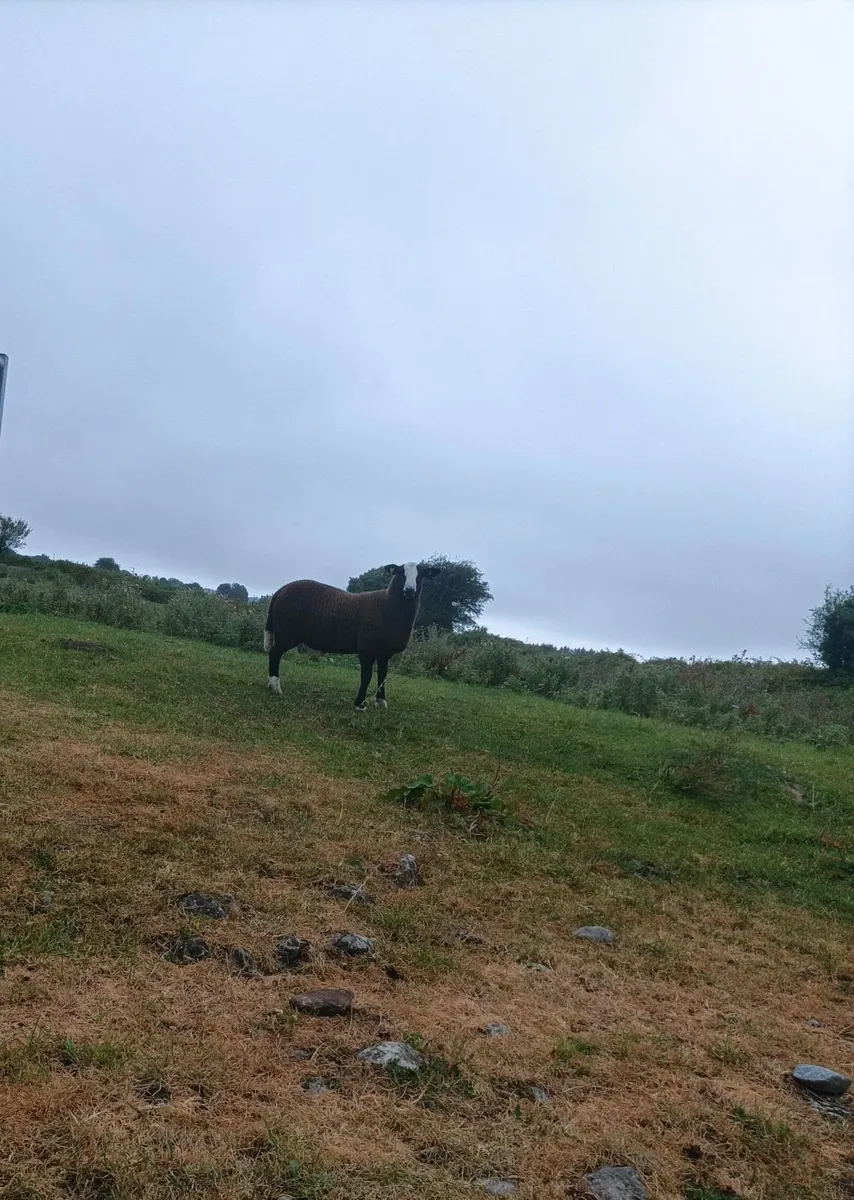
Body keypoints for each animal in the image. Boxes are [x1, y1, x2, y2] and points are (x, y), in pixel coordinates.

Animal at [264, 562, 441, 710]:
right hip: (287, 633)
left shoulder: (385, 653)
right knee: (274, 654)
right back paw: (275, 687)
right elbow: (366, 676)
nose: (410, 590)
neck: (387, 605)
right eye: (400, 573)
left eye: (421, 575)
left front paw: (381, 702)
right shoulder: (366, 648)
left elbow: (383, 676)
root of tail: (279, 592)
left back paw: (271, 685)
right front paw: (359, 704)